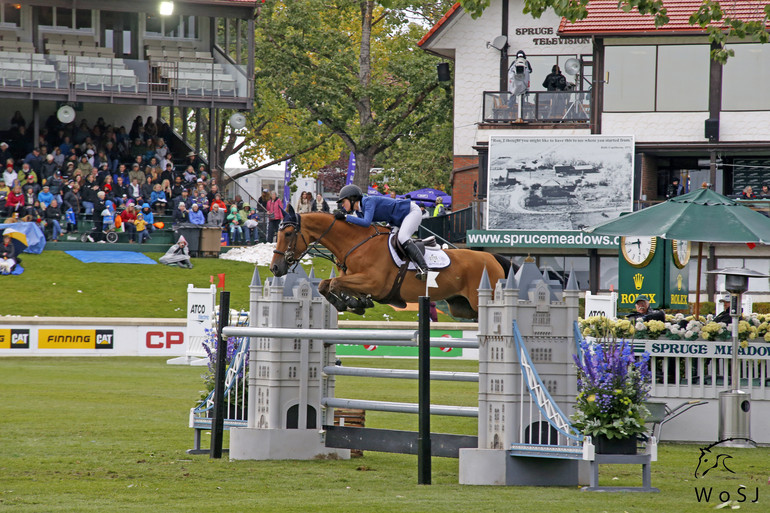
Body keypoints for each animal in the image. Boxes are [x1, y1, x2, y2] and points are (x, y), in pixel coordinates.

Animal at [268, 206, 508, 318]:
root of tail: (492, 258)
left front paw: (350, 303)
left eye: (288, 233)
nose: (275, 268)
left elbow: (334, 284)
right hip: (462, 308)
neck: (355, 243)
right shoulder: (353, 278)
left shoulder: (374, 283)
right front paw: (355, 303)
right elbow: (327, 285)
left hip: (481, 300)